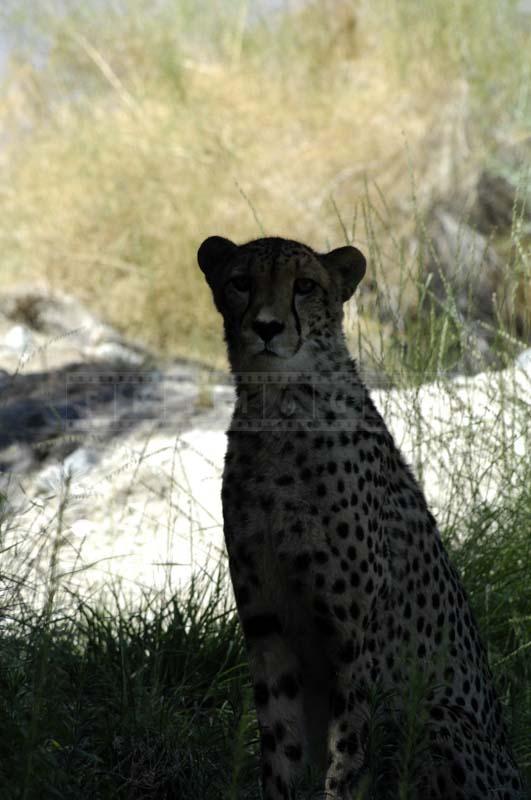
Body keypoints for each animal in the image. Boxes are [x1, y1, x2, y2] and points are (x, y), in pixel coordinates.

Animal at [197, 234, 526, 800]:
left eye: (305, 285)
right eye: (240, 282)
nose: (266, 327)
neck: (278, 408)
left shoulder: (354, 636)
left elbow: (347, 751)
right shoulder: (267, 625)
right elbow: (280, 750)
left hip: (437, 718)